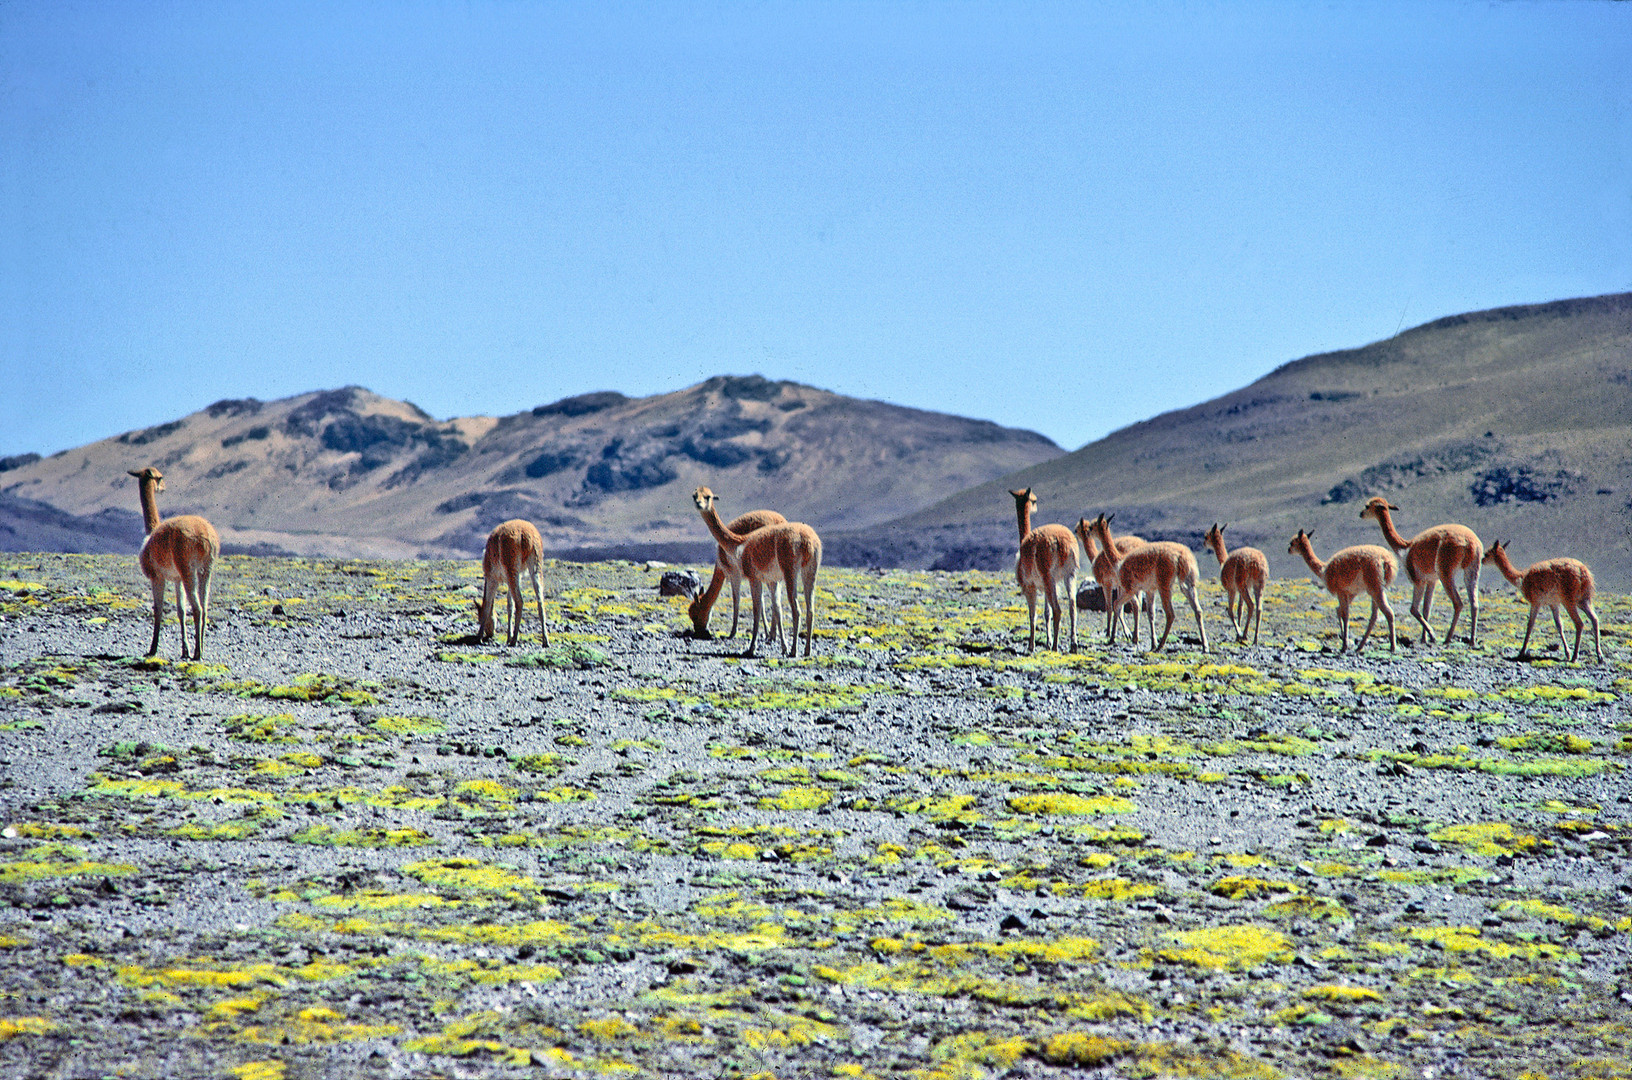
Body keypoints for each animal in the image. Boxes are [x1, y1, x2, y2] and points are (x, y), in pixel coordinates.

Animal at [129, 466, 220, 659]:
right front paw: (184, 650)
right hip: (205, 569)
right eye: (159, 477)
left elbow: (158, 609)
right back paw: (201, 649)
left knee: (197, 608)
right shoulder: (176, 579)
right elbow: (180, 610)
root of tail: (206, 535)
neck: (152, 530)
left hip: (187, 568)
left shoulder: (157, 576)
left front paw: (152, 649)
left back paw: (198, 653)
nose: (163, 487)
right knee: (204, 607)